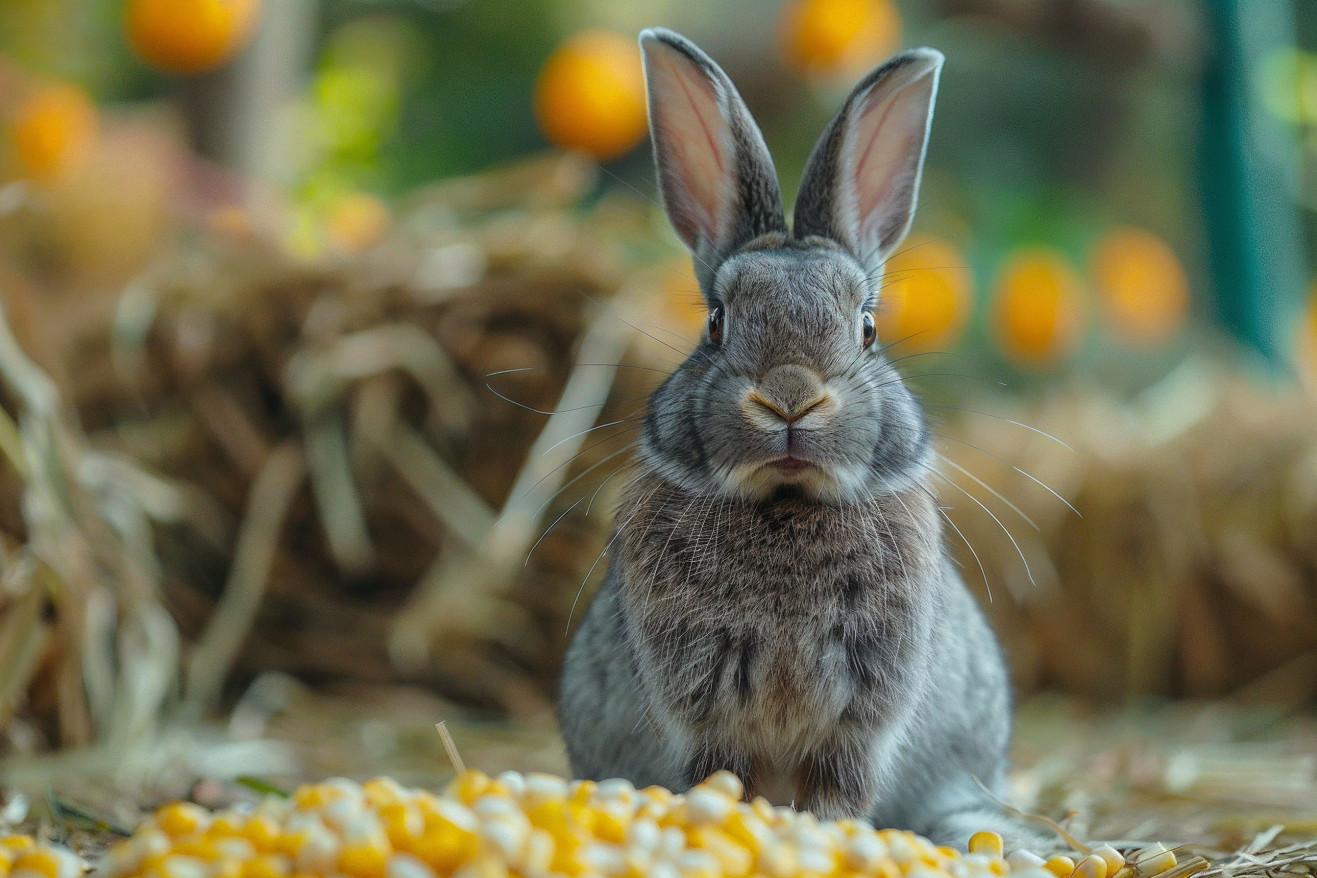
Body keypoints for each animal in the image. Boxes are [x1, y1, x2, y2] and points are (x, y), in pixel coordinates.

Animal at [561, 25, 1043, 852]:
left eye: (868, 327)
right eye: (714, 323)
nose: (789, 397)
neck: (786, 504)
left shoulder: (860, 717)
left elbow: (839, 789)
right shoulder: (704, 711)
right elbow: (722, 777)